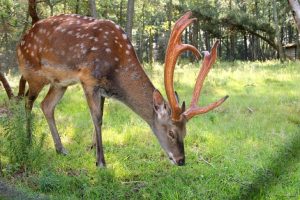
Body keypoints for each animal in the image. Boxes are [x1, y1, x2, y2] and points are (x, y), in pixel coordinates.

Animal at [17, 11, 227, 166]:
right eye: (171, 132)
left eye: (185, 132)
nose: (181, 160)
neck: (116, 68)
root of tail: (20, 43)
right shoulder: (88, 79)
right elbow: (97, 118)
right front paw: (101, 162)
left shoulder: (102, 89)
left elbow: (100, 117)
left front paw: (92, 149)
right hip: (33, 74)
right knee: (27, 100)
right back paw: (27, 140)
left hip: (60, 83)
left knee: (46, 105)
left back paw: (60, 149)